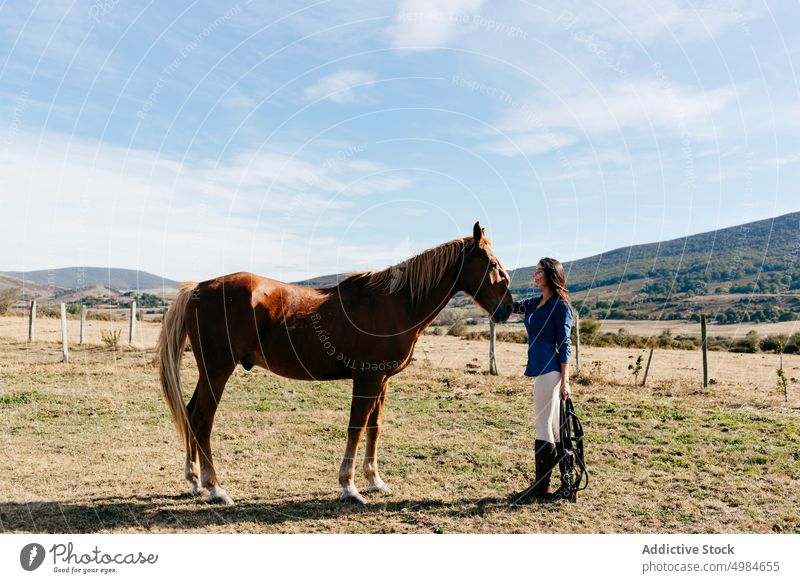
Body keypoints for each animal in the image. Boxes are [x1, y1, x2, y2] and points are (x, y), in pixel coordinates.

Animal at [157, 221, 516, 504]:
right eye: (491, 264)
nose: (508, 309)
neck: (395, 304)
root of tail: (197, 289)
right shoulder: (367, 378)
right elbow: (356, 427)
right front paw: (349, 487)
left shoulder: (382, 381)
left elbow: (374, 427)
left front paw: (375, 480)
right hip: (218, 371)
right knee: (202, 420)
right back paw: (215, 488)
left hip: (208, 373)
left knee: (190, 413)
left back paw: (194, 481)